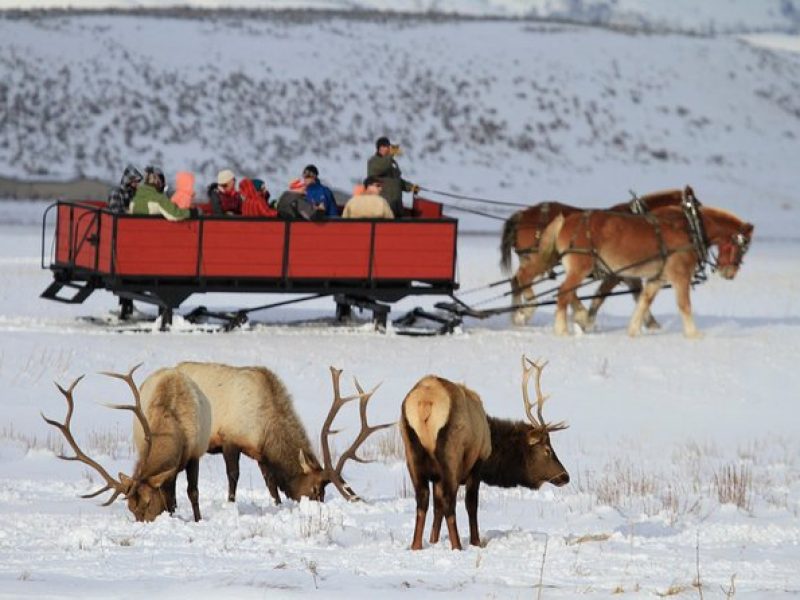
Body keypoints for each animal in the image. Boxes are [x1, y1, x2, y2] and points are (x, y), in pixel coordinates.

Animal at [41, 364, 211, 524]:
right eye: (130, 508)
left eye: (148, 502)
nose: (143, 523)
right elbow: (171, 499)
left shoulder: (195, 453)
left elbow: (192, 492)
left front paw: (198, 520)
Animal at [174, 364, 390, 504]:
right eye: (314, 488)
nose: (316, 506)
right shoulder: (230, 439)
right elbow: (233, 475)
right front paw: (231, 503)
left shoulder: (261, 454)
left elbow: (271, 483)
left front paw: (277, 504)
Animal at [400, 358, 568, 552]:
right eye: (547, 449)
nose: (565, 476)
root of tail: (426, 403)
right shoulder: (477, 464)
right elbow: (470, 505)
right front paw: (476, 542)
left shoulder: (436, 477)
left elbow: (437, 508)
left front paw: (433, 540)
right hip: (451, 456)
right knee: (450, 502)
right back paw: (457, 546)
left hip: (411, 453)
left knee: (422, 500)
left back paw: (416, 546)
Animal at [500, 189, 688, 326]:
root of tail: (522, 215)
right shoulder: (616, 273)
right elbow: (601, 295)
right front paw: (587, 320)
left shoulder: (627, 273)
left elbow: (637, 294)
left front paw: (651, 324)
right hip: (543, 258)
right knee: (525, 279)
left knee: (517, 281)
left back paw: (517, 314)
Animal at [544, 205, 752, 338]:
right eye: (743, 246)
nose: (730, 273)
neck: (691, 229)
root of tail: (566, 221)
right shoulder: (681, 276)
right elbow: (684, 305)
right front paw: (694, 334)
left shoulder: (657, 279)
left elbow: (644, 301)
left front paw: (633, 330)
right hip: (580, 268)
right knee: (563, 293)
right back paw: (562, 330)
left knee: (570, 294)